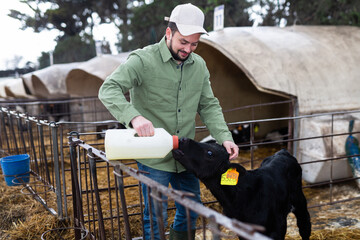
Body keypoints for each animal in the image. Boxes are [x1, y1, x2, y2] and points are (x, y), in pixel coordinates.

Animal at [171, 138, 310, 239]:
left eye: (210, 153)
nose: (183, 139)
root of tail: (282, 151)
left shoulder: (278, 227)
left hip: (299, 201)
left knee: (304, 226)